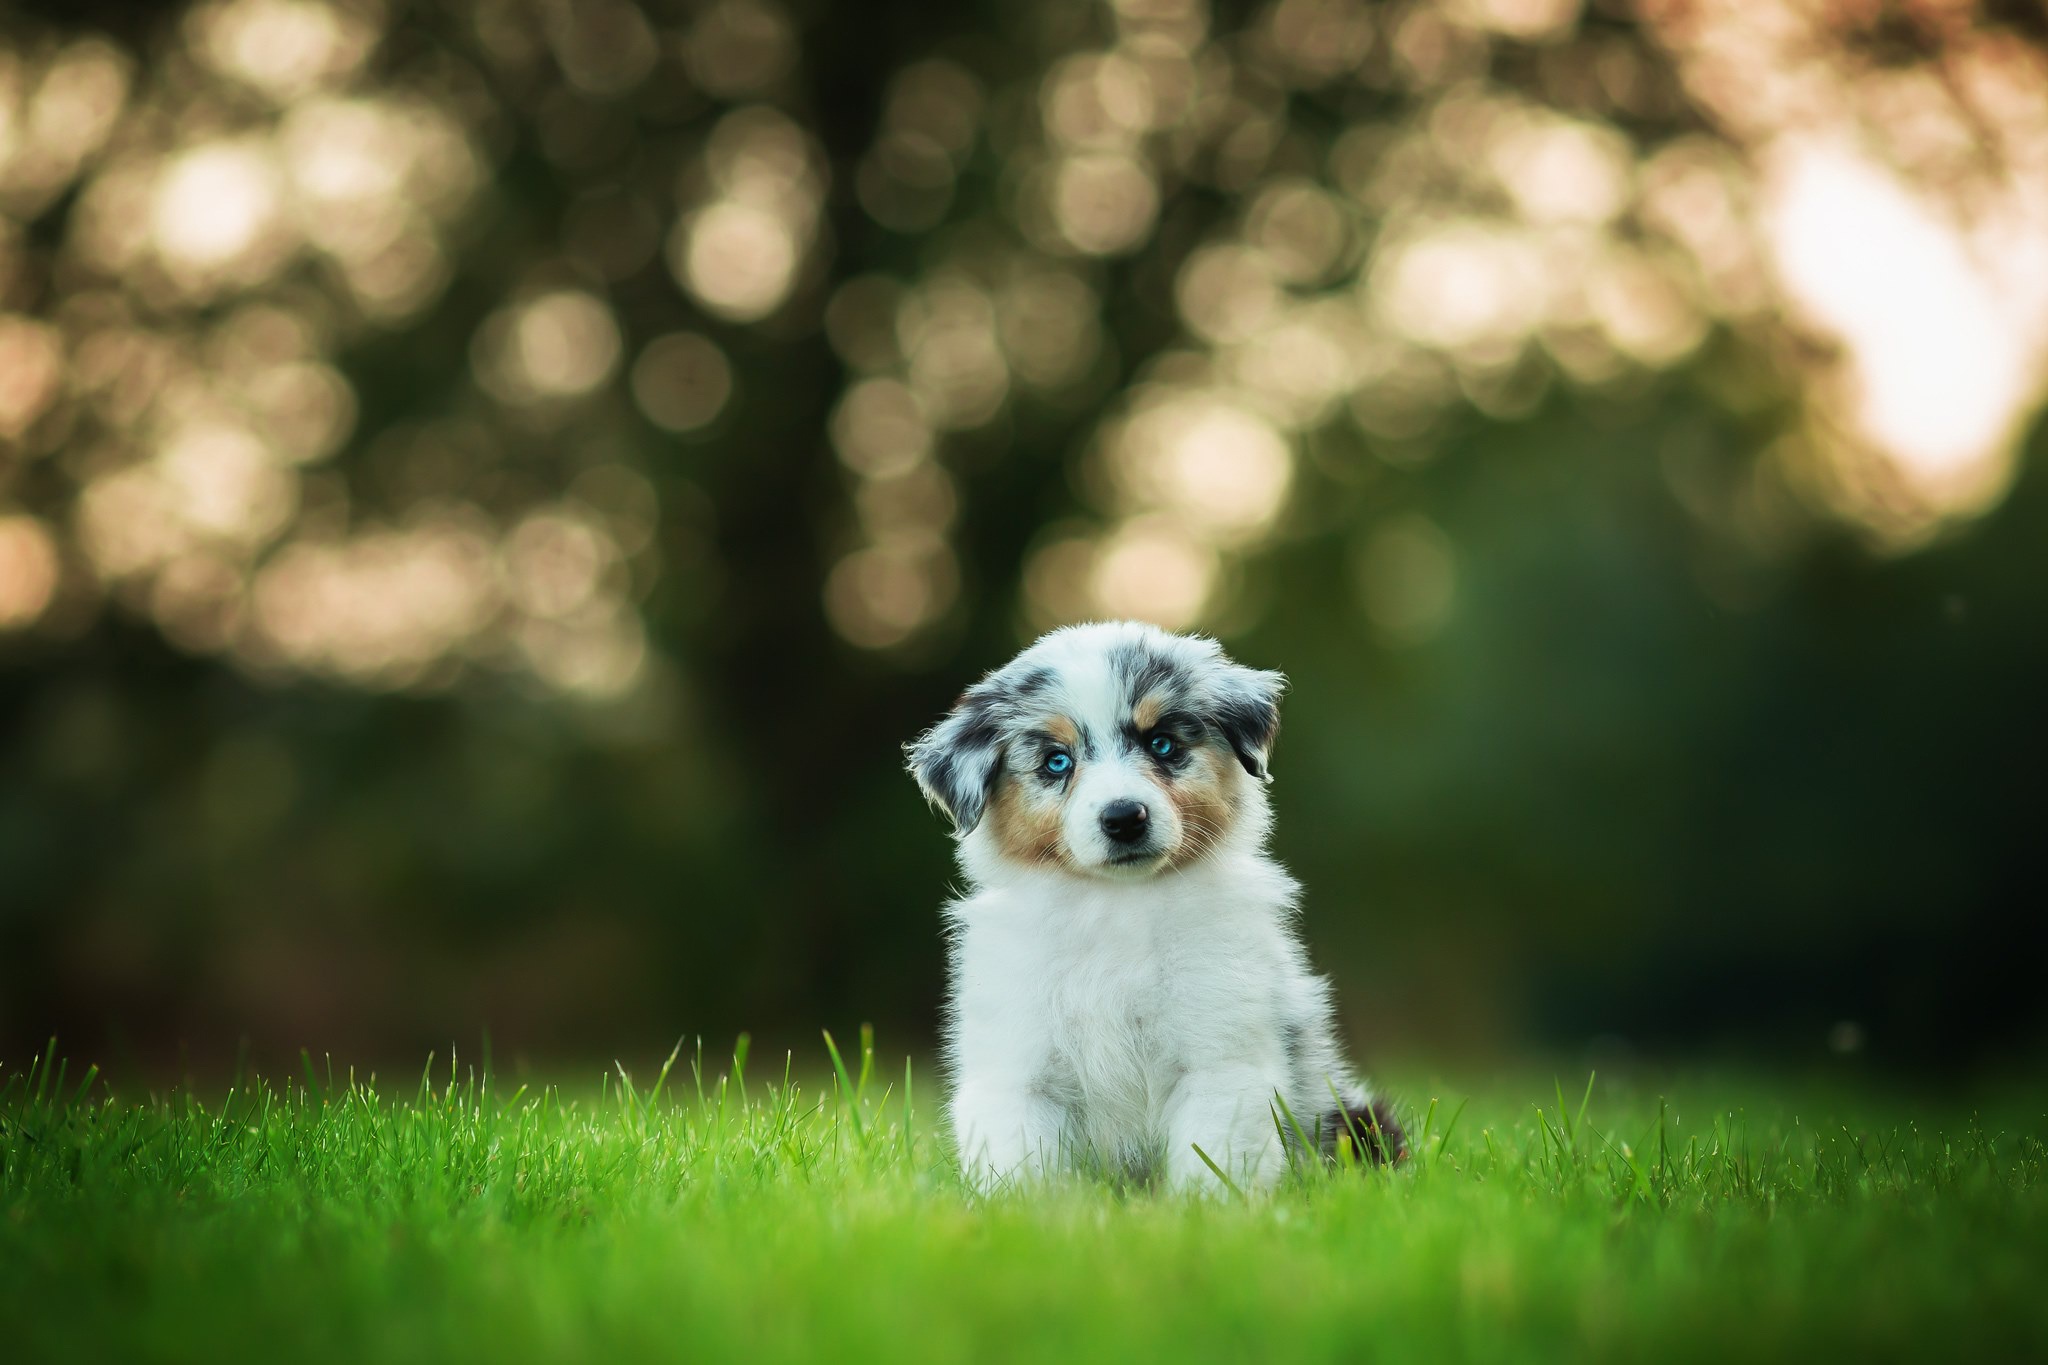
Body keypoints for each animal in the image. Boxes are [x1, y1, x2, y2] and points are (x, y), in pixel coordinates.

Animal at [905, 622, 1400, 1195]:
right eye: (1057, 761)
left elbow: (1215, 1157)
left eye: (1162, 744)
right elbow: (1024, 1166)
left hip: (1354, 1119)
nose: (1124, 817)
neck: (1117, 905)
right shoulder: (1018, 1066)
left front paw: (1209, 1209)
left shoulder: (1219, 1057)